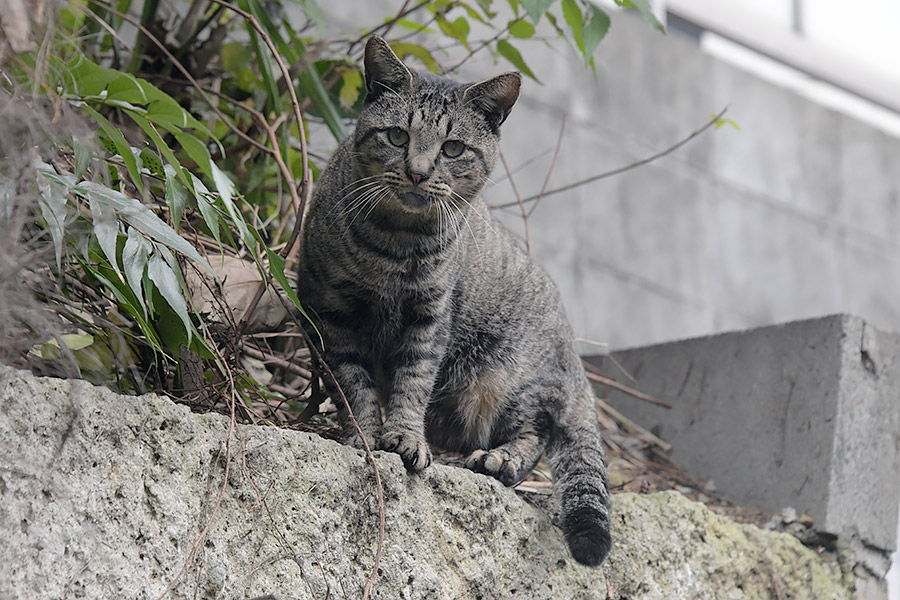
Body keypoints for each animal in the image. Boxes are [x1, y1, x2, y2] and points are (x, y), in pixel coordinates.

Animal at [296, 37, 612, 568]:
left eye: (453, 148)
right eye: (397, 136)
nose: (417, 172)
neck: (394, 244)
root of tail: (571, 349)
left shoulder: (429, 317)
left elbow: (413, 381)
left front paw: (404, 435)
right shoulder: (332, 313)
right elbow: (354, 384)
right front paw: (365, 432)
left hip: (510, 379)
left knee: (537, 434)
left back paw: (499, 460)